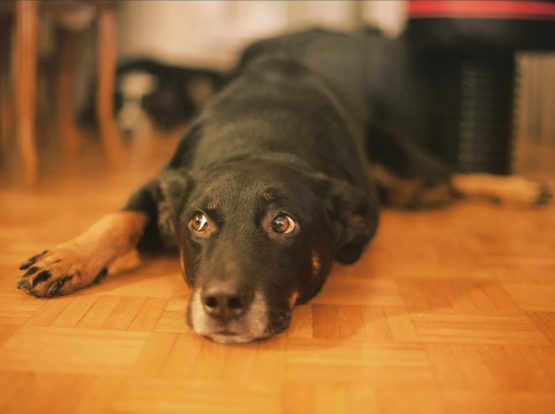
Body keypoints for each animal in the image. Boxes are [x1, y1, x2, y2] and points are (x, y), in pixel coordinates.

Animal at [15, 26, 548, 342]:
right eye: (198, 222)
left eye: (283, 223)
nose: (222, 304)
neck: (263, 141)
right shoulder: (160, 184)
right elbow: (118, 217)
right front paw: (67, 259)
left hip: (416, 177)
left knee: (451, 177)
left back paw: (521, 188)